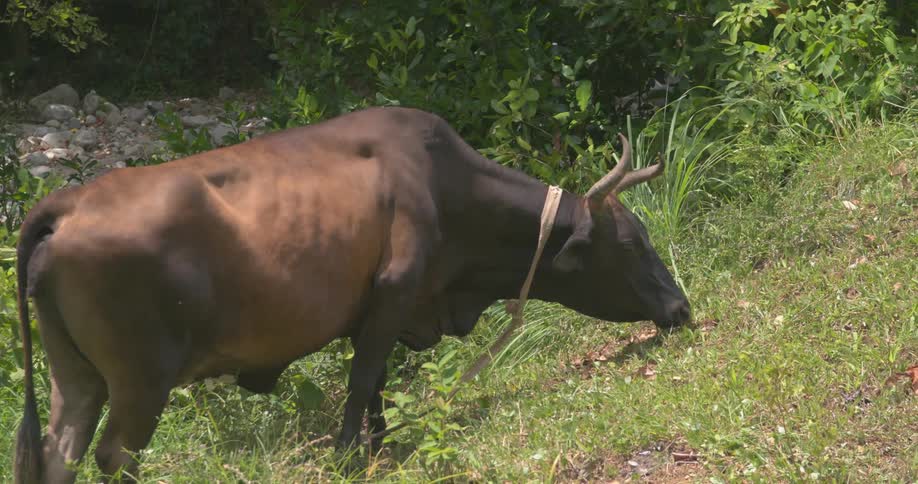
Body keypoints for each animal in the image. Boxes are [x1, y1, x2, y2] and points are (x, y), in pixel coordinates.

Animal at [14, 106, 690, 483]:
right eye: (632, 243)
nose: (680, 309)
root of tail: (64, 203)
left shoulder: (380, 311)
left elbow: (379, 390)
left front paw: (381, 447)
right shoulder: (394, 293)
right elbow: (363, 381)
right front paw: (346, 457)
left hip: (76, 379)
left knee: (57, 456)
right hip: (142, 380)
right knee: (115, 457)